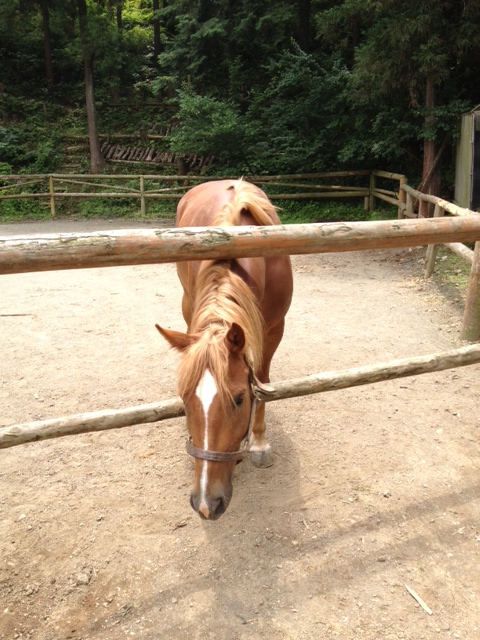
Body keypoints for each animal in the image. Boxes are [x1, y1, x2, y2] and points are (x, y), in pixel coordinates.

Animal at [156, 179, 293, 520]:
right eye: (184, 398)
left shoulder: (274, 329)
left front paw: (258, 443)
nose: (206, 503)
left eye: (240, 399)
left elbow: (262, 380)